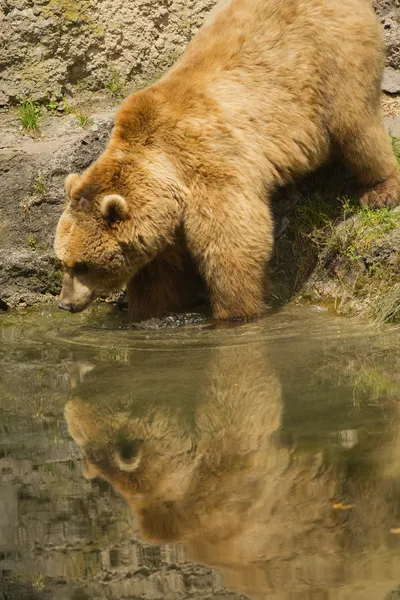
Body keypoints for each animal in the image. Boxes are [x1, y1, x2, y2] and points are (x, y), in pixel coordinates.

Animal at [54, 0, 400, 318]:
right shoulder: (165, 215)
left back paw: (380, 191)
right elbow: (159, 274)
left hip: (334, 59)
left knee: (356, 125)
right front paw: (147, 313)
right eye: (62, 261)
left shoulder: (209, 163)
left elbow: (232, 242)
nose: (66, 304)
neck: (165, 169)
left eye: (82, 265)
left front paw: (235, 311)